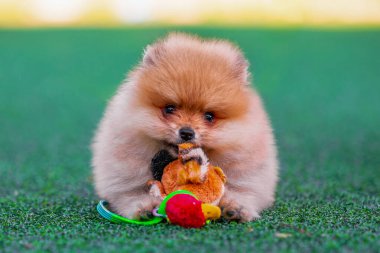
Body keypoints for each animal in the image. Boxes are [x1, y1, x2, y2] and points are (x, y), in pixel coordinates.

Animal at [91, 33, 278, 221]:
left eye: (209, 116)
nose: (187, 132)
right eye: (169, 109)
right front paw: (145, 207)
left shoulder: (248, 173)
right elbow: (131, 193)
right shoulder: (125, 173)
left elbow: (243, 191)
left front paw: (236, 208)